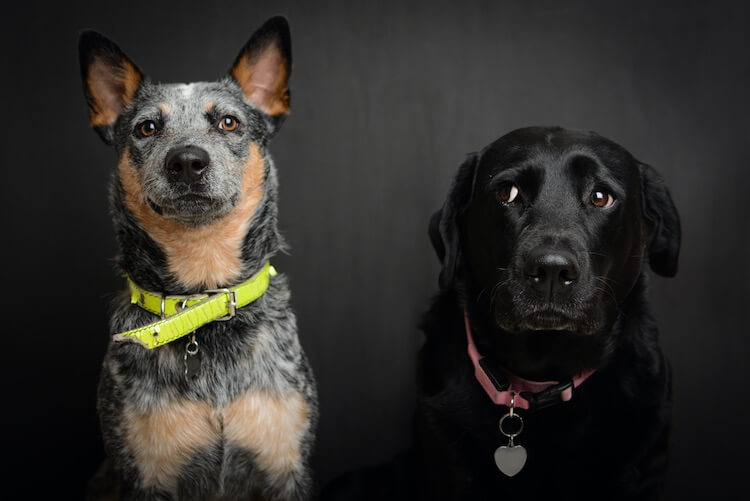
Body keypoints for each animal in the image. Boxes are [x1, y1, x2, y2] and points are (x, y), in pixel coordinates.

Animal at [80, 16, 320, 500]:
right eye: (147, 128)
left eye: (228, 122)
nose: (187, 160)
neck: (201, 300)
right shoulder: (144, 474)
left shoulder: (288, 466)